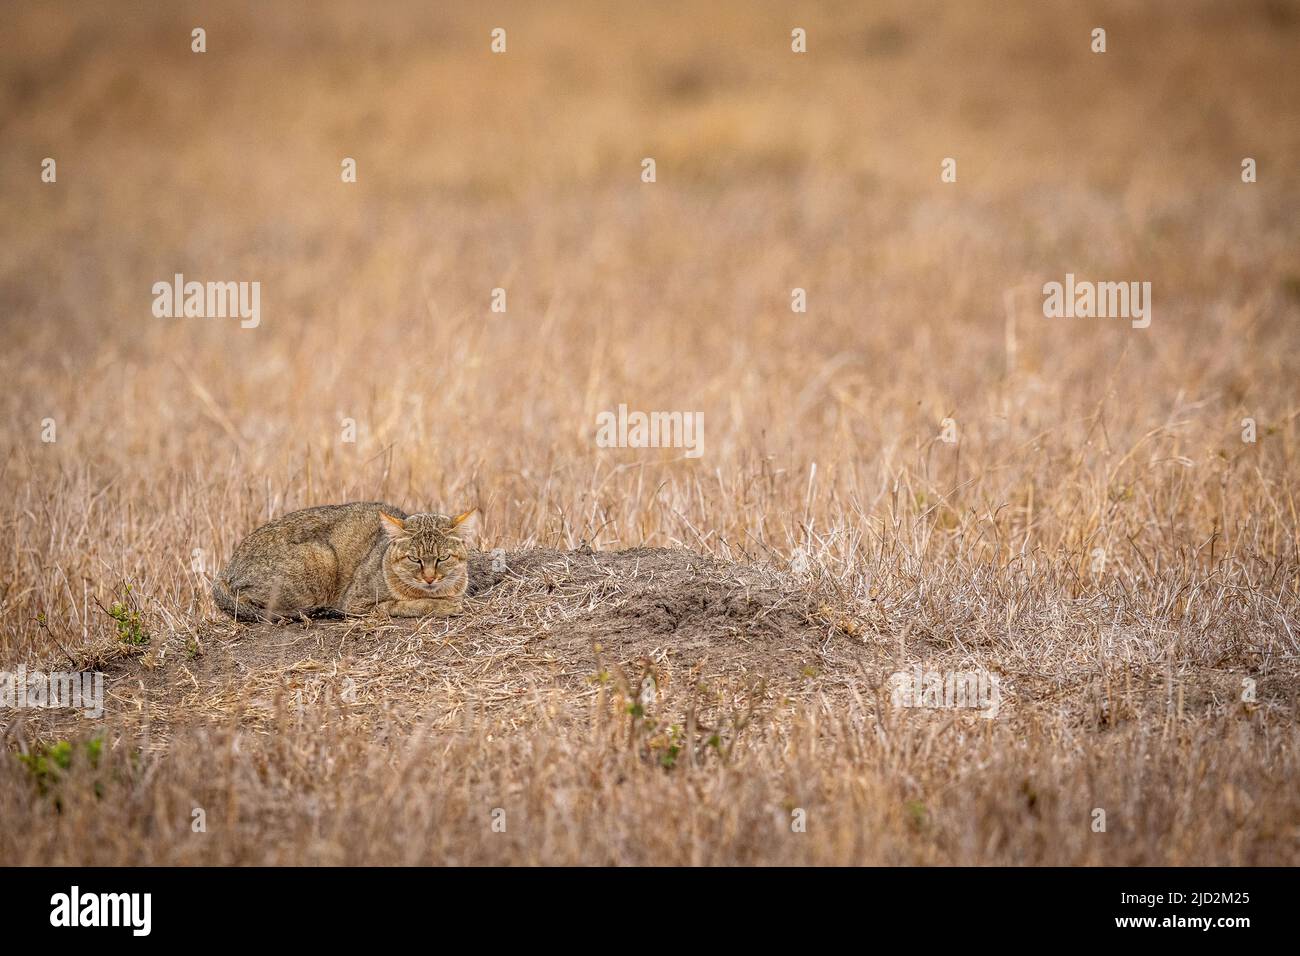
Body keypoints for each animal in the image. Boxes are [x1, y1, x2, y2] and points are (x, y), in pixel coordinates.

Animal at [210, 504, 480, 624]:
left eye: (443, 558)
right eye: (414, 559)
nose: (430, 578)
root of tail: (226, 570)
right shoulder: (358, 603)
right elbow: (403, 604)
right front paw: (442, 606)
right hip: (320, 558)